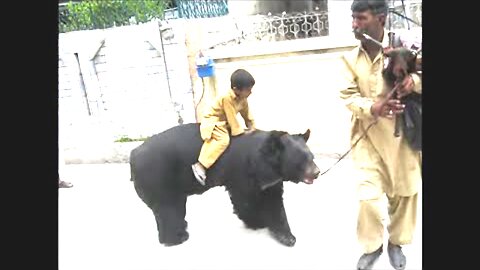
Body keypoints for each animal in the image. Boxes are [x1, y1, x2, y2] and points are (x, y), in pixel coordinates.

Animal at [129, 123, 320, 247]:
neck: (266, 162)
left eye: (312, 157)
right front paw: (256, 221)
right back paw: (177, 237)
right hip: (160, 177)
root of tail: (133, 154)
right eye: (301, 160)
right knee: (168, 207)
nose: (317, 172)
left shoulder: (272, 180)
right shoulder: (242, 171)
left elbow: (274, 203)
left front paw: (288, 237)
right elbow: (244, 198)